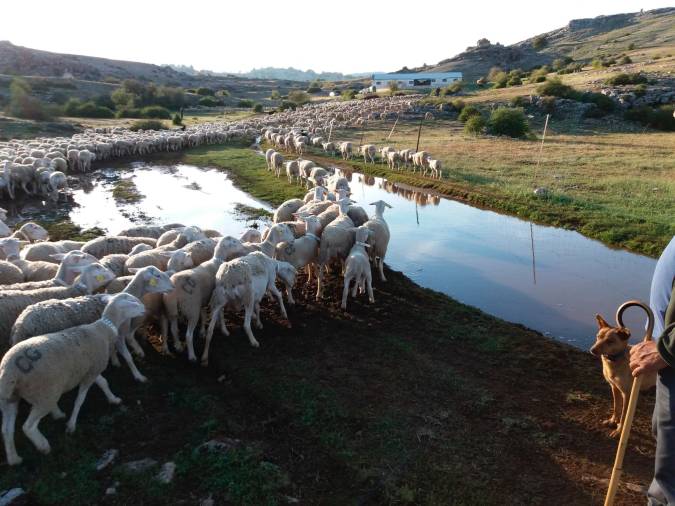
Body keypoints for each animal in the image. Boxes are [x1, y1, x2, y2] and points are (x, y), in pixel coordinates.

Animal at [0, 290, 147, 464]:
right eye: (133, 303)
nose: (145, 309)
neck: (103, 329)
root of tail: (10, 370)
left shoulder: (91, 368)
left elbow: (103, 382)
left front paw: (113, 399)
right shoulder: (90, 372)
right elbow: (79, 400)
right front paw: (71, 425)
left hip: (10, 398)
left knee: (7, 429)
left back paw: (14, 458)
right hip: (44, 394)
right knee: (28, 426)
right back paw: (43, 445)